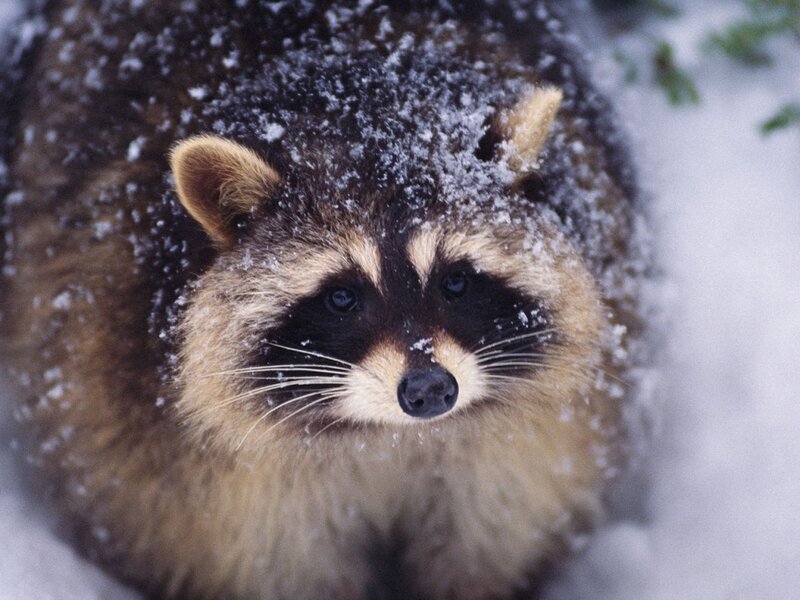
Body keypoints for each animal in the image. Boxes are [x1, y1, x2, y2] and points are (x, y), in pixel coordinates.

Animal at [1, 1, 647, 599]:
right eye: (341, 297)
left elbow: (486, 544)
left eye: (455, 282)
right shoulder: (186, 464)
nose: (429, 390)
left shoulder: (519, 456)